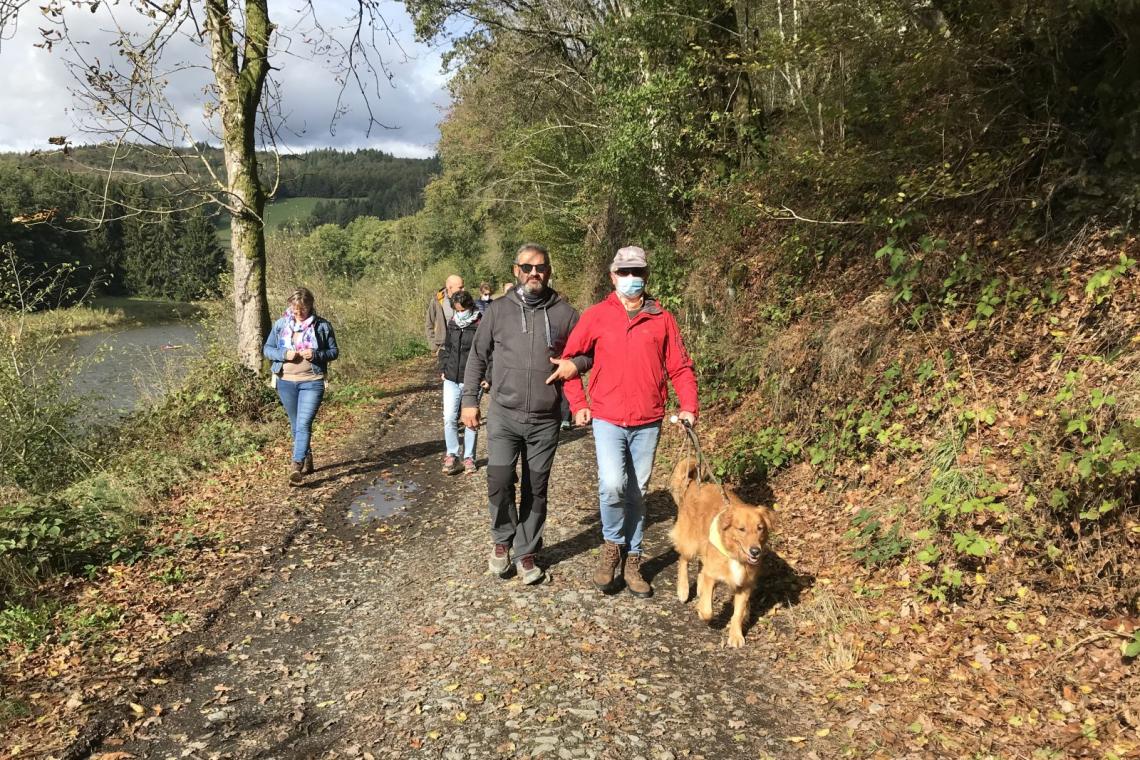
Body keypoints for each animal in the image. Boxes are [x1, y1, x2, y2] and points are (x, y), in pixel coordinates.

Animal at [665, 458, 775, 647]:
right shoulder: (712, 575)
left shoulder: (745, 585)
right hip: (690, 544)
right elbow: (707, 611)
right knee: (683, 560)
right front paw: (702, 609)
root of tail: (694, 484)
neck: (734, 554)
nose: (755, 551)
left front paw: (736, 635)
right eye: (741, 529)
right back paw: (684, 589)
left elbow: (738, 613)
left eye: (760, 528)